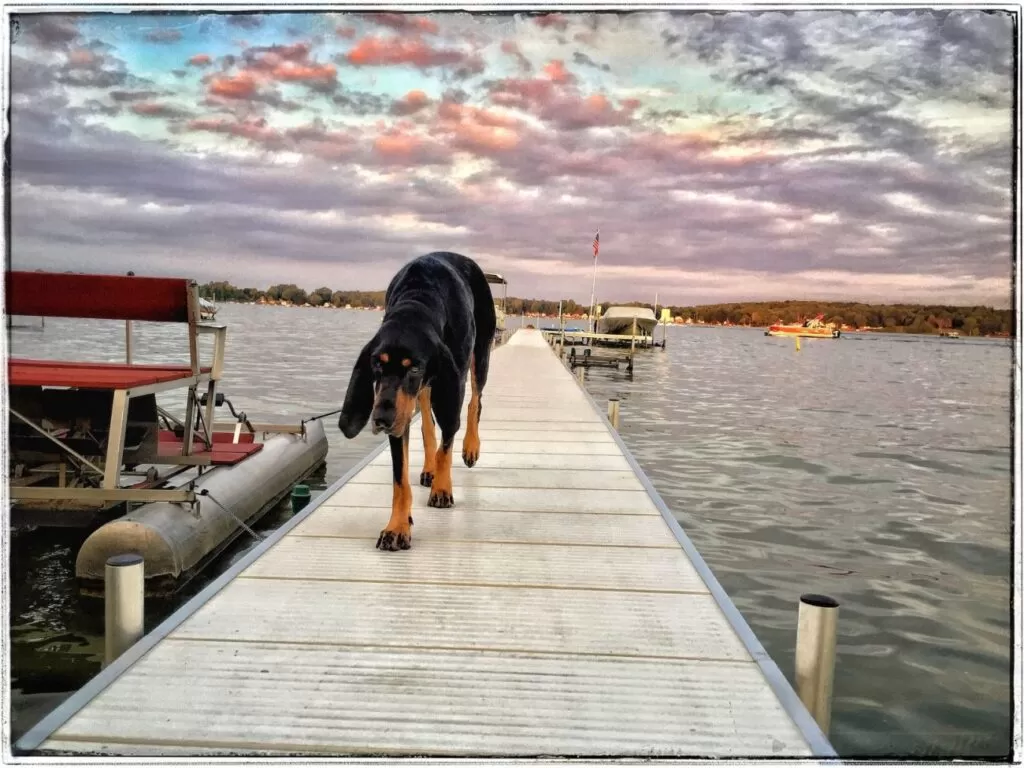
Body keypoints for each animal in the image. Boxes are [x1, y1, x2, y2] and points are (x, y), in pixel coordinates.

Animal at [335, 252, 495, 552]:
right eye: (377, 363)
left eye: (415, 368)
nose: (381, 419)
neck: (420, 298)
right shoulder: (401, 416)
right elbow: (400, 480)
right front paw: (397, 527)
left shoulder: (450, 386)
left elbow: (447, 445)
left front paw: (442, 489)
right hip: (423, 393)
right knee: (427, 424)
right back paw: (429, 468)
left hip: (479, 356)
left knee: (474, 402)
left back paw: (470, 447)